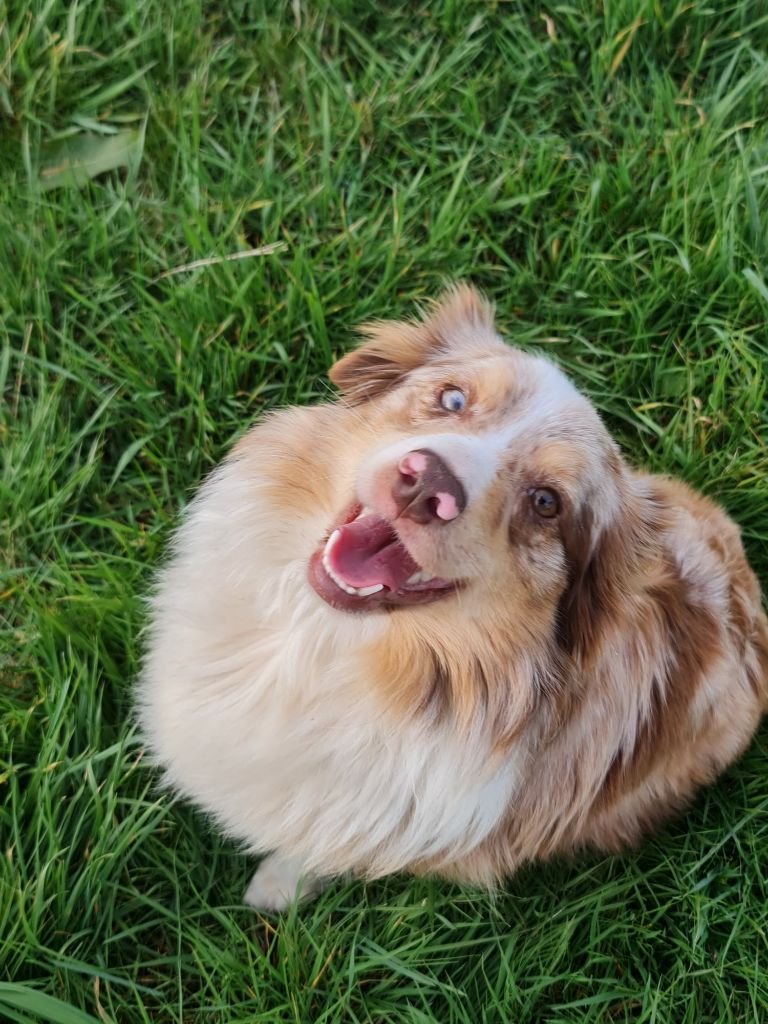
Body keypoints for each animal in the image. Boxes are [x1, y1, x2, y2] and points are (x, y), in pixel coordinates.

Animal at [138, 284, 768, 909]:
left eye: (546, 503)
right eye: (453, 398)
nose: (426, 484)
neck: (314, 641)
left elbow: (313, 844)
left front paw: (275, 888)